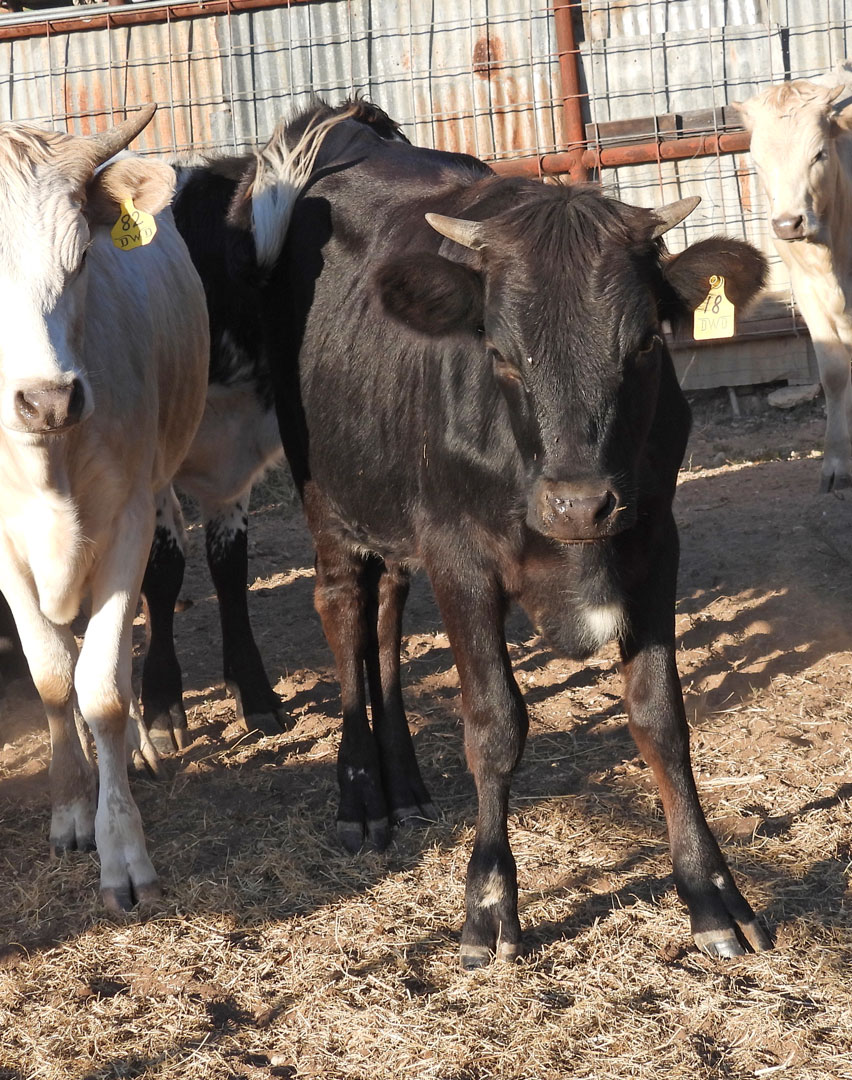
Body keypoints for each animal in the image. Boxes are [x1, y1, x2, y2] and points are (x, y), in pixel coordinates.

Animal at [0, 105, 209, 907]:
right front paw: (70, 807)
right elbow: (53, 677)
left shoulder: (125, 523)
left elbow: (102, 688)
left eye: (82, 258)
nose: (48, 398)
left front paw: (122, 847)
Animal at [729, 77, 850, 494]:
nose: (787, 224)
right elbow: (834, 375)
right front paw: (836, 463)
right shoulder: (808, 292)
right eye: (757, 160)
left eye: (818, 154)